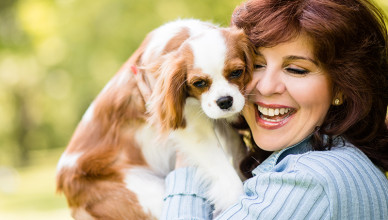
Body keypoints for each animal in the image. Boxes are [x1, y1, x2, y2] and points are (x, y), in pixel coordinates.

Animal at [56, 19, 253, 220]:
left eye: (237, 72)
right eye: (199, 83)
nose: (224, 101)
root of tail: (64, 183)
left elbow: (237, 153)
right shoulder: (191, 126)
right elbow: (227, 176)